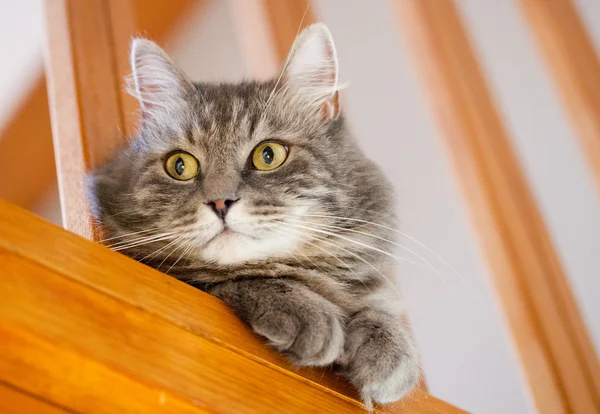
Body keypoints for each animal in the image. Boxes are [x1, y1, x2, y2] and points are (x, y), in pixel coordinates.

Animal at [90, 23, 418, 408]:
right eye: (180, 166)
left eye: (268, 155)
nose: (220, 202)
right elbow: (245, 279)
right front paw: (309, 314)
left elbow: (380, 312)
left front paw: (389, 354)